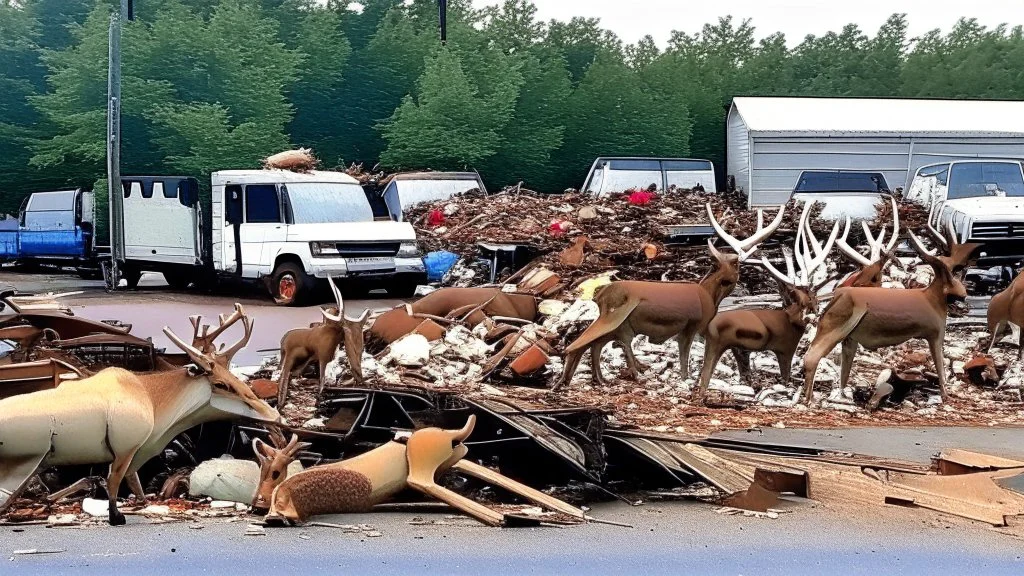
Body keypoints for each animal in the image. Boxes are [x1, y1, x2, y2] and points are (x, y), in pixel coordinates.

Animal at [0, 303, 280, 522]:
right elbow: (112, 481)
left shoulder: (135, 451)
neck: (154, 399)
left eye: (234, 376)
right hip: (24, 464)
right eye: (221, 384)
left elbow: (133, 484)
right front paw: (116, 516)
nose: (275, 416)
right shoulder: (124, 449)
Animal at [552, 202, 782, 389]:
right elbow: (684, 354)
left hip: (615, 323)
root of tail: (600, 295)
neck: (708, 295)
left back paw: (591, 379)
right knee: (591, 344)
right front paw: (686, 378)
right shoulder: (691, 325)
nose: (726, 279)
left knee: (593, 344)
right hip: (618, 318)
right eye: (734, 265)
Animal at [696, 202, 839, 399]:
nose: (812, 316)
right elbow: (784, 376)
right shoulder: (784, 348)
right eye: (794, 296)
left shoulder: (743, 350)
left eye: (814, 299)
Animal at [798, 230, 966, 401]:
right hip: (837, 328)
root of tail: (838, 294)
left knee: (841, 370)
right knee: (811, 357)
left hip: (848, 338)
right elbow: (941, 369)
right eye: (949, 278)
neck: (930, 298)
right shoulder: (935, 336)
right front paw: (945, 397)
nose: (964, 295)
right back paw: (809, 399)